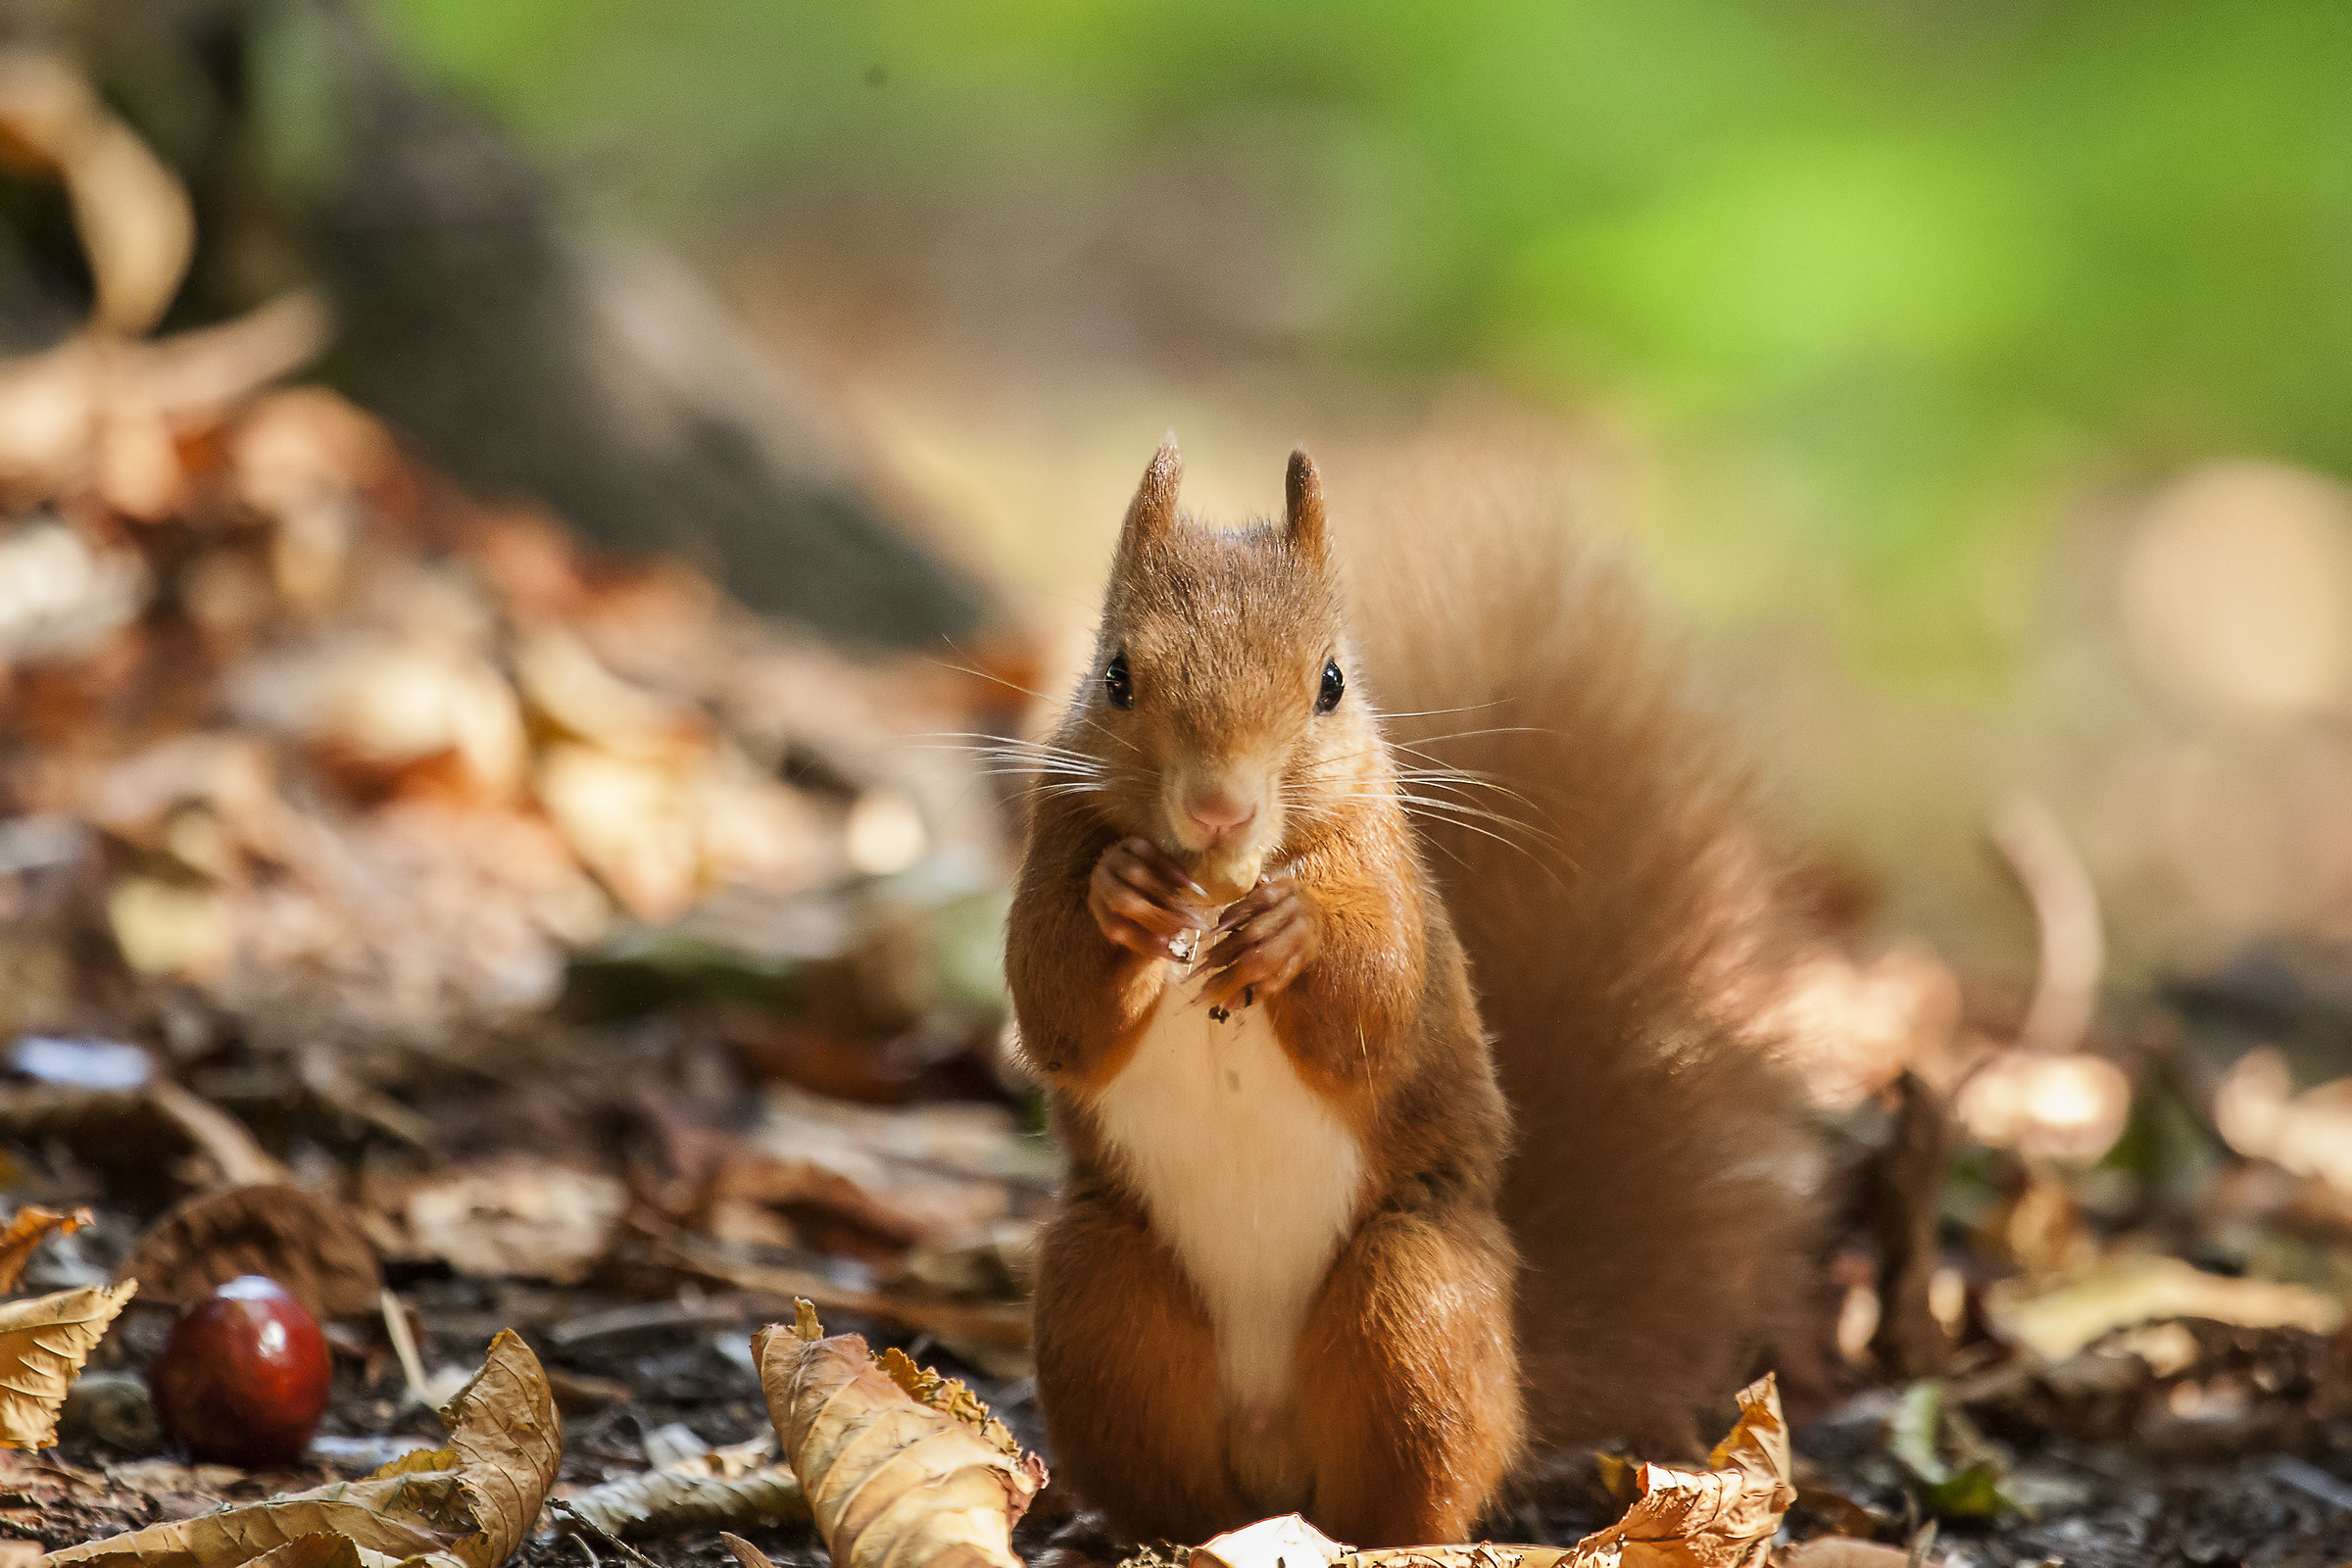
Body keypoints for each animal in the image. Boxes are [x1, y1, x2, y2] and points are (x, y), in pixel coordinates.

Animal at [1005, 437, 1824, 1549]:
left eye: (1332, 683)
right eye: (1117, 677)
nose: (1219, 809)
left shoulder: (1389, 874)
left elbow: (1380, 1000)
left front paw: (1295, 931)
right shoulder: (1054, 830)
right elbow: (1052, 1002)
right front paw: (1120, 894)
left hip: (1411, 1304)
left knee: (1408, 1482)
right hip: (1105, 1294)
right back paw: (1170, 1537)